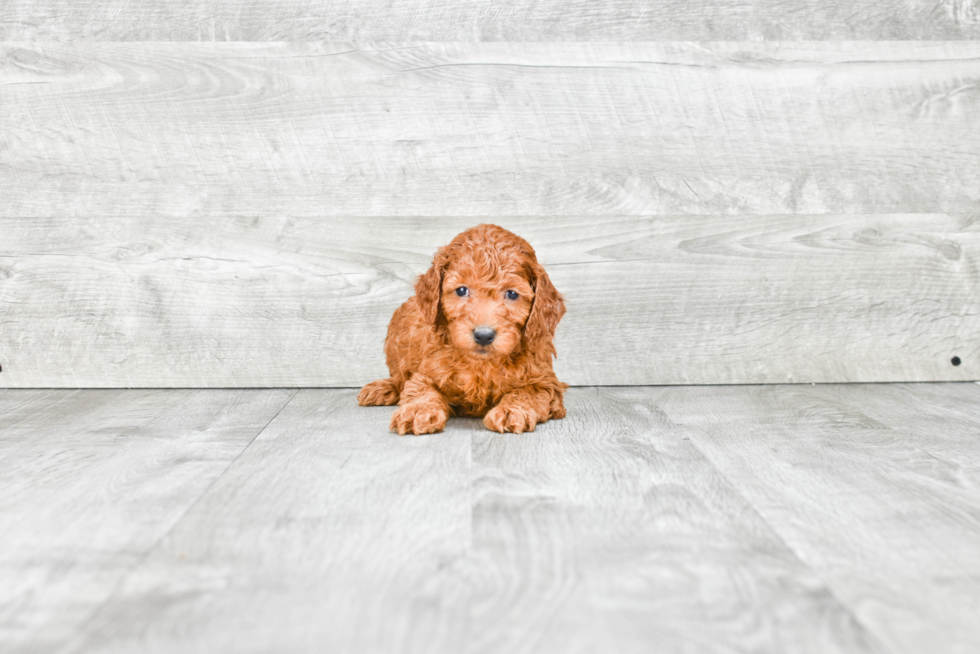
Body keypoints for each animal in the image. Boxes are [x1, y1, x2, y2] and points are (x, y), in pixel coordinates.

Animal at [358, 224, 568, 436]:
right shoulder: (426, 373)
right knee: (399, 378)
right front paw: (418, 410)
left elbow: (527, 392)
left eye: (512, 294)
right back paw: (381, 388)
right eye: (461, 290)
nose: (483, 335)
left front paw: (511, 410)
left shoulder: (546, 382)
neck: (481, 364)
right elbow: (421, 389)